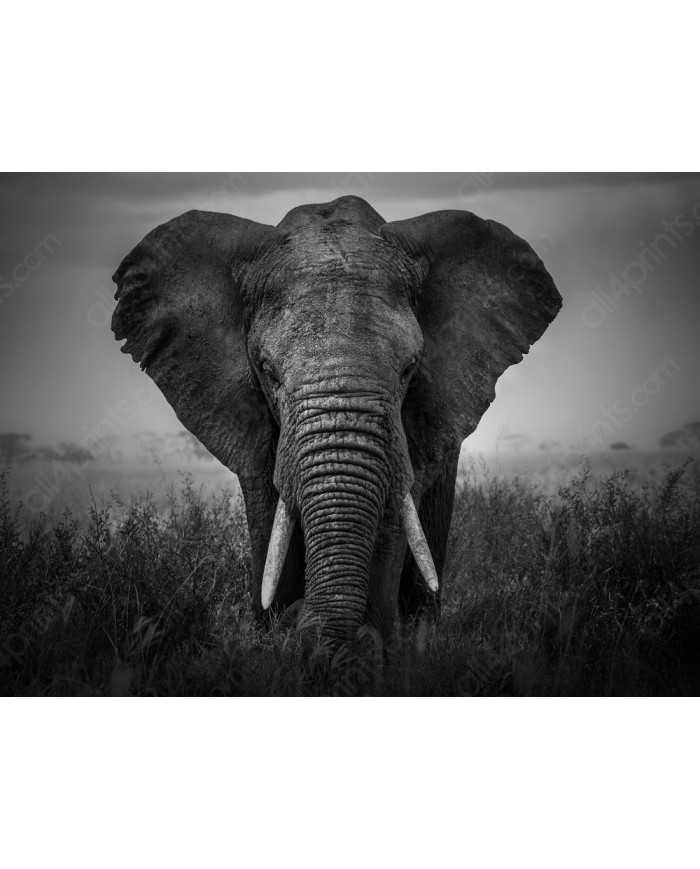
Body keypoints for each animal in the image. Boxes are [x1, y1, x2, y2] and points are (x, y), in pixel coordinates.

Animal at [112, 195, 561, 646]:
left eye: (409, 369)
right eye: (268, 371)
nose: (299, 619)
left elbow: (392, 514)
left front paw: (362, 647)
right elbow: (270, 518)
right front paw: (277, 634)